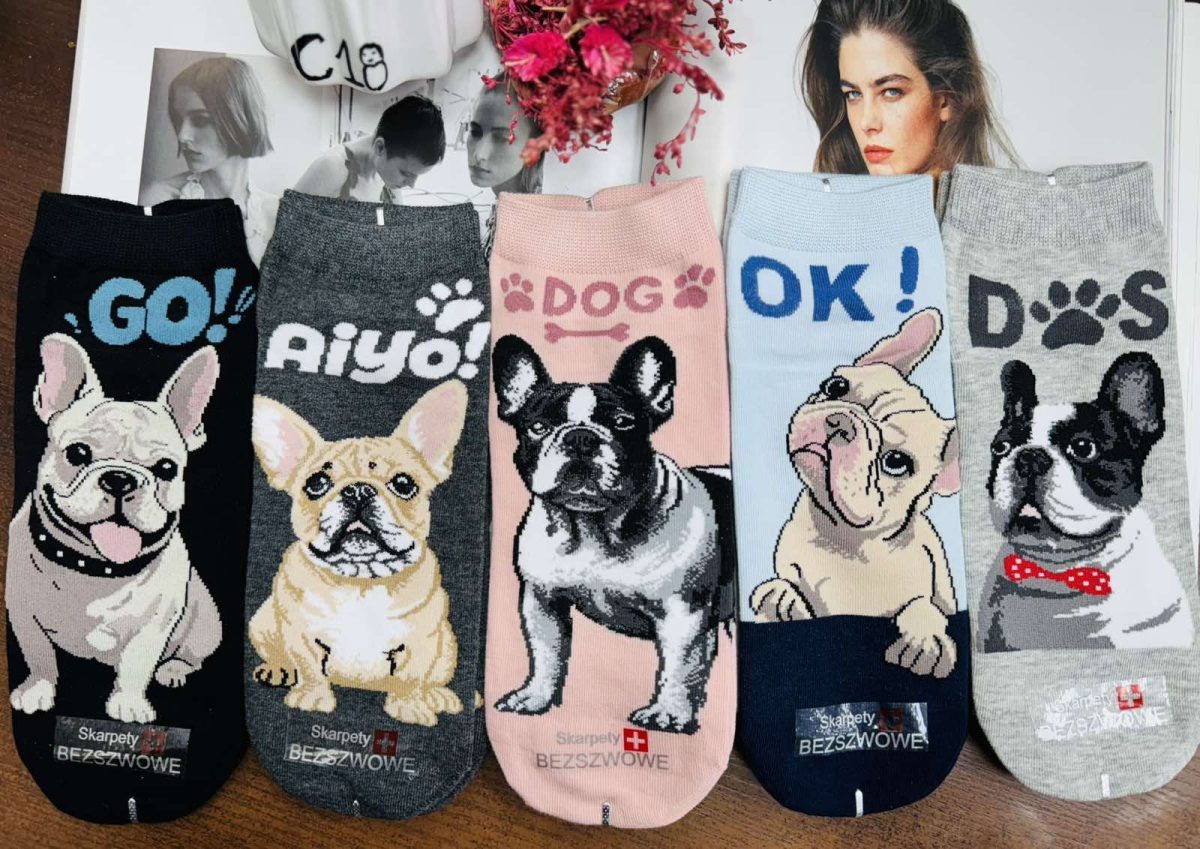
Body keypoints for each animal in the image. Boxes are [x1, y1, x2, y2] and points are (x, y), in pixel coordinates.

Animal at [7, 333, 220, 723]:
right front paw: (38, 689)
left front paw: (129, 703)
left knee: (191, 656)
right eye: (77, 454)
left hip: (207, 624)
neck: (96, 570)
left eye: (167, 468)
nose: (120, 478)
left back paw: (173, 669)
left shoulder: (153, 629)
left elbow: (136, 665)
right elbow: (39, 655)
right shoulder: (22, 612)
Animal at [248, 380, 467, 725]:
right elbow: (308, 666)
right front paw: (312, 696)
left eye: (404, 484)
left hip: (448, 646)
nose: (358, 489)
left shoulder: (425, 639)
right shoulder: (298, 630)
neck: (360, 581)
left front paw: (409, 706)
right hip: (262, 619)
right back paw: (277, 668)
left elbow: (413, 675)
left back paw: (437, 696)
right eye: (316, 483)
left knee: (434, 676)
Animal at [492, 335, 733, 734]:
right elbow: (546, 655)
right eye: (538, 427)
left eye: (623, 423)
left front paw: (668, 712)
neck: (593, 530)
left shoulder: (682, 613)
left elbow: (677, 666)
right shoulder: (542, 601)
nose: (580, 438)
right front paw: (536, 697)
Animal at [750, 309, 961, 678]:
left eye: (896, 462)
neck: (843, 538)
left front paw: (924, 638)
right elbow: (788, 583)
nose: (840, 421)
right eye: (836, 387)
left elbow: (923, 605)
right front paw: (782, 596)